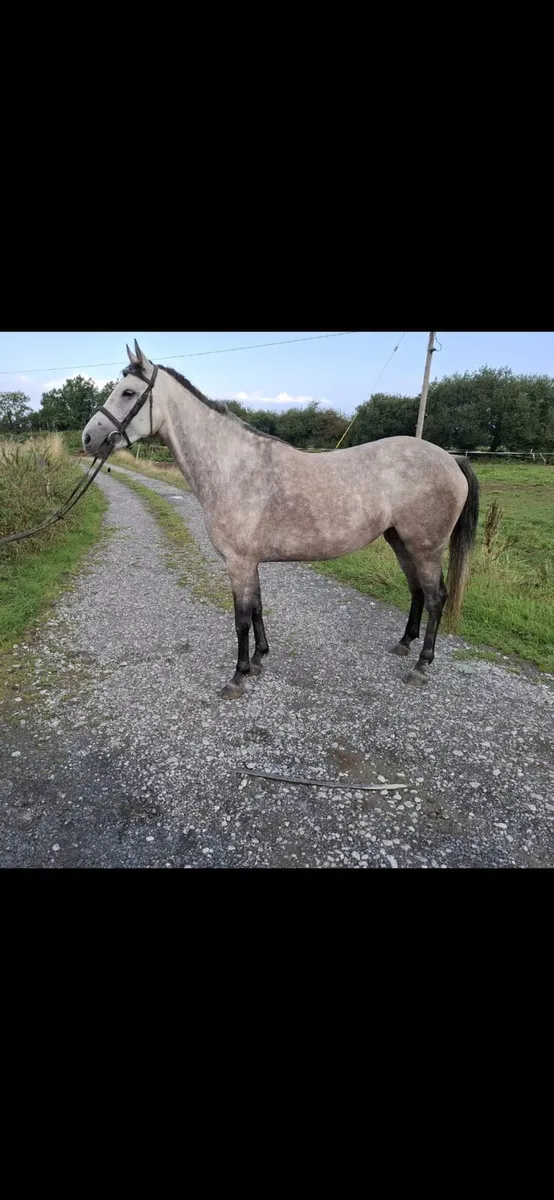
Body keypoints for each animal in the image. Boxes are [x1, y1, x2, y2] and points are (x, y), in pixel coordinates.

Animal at [82, 341, 479, 699]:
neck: (233, 467)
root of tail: (450, 458)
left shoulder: (239, 562)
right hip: (400, 540)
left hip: (426, 546)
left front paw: (238, 677)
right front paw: (259, 660)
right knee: (417, 590)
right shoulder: (249, 562)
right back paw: (404, 644)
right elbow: (257, 607)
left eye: (128, 392)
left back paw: (421, 666)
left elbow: (242, 618)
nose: (89, 438)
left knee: (435, 597)